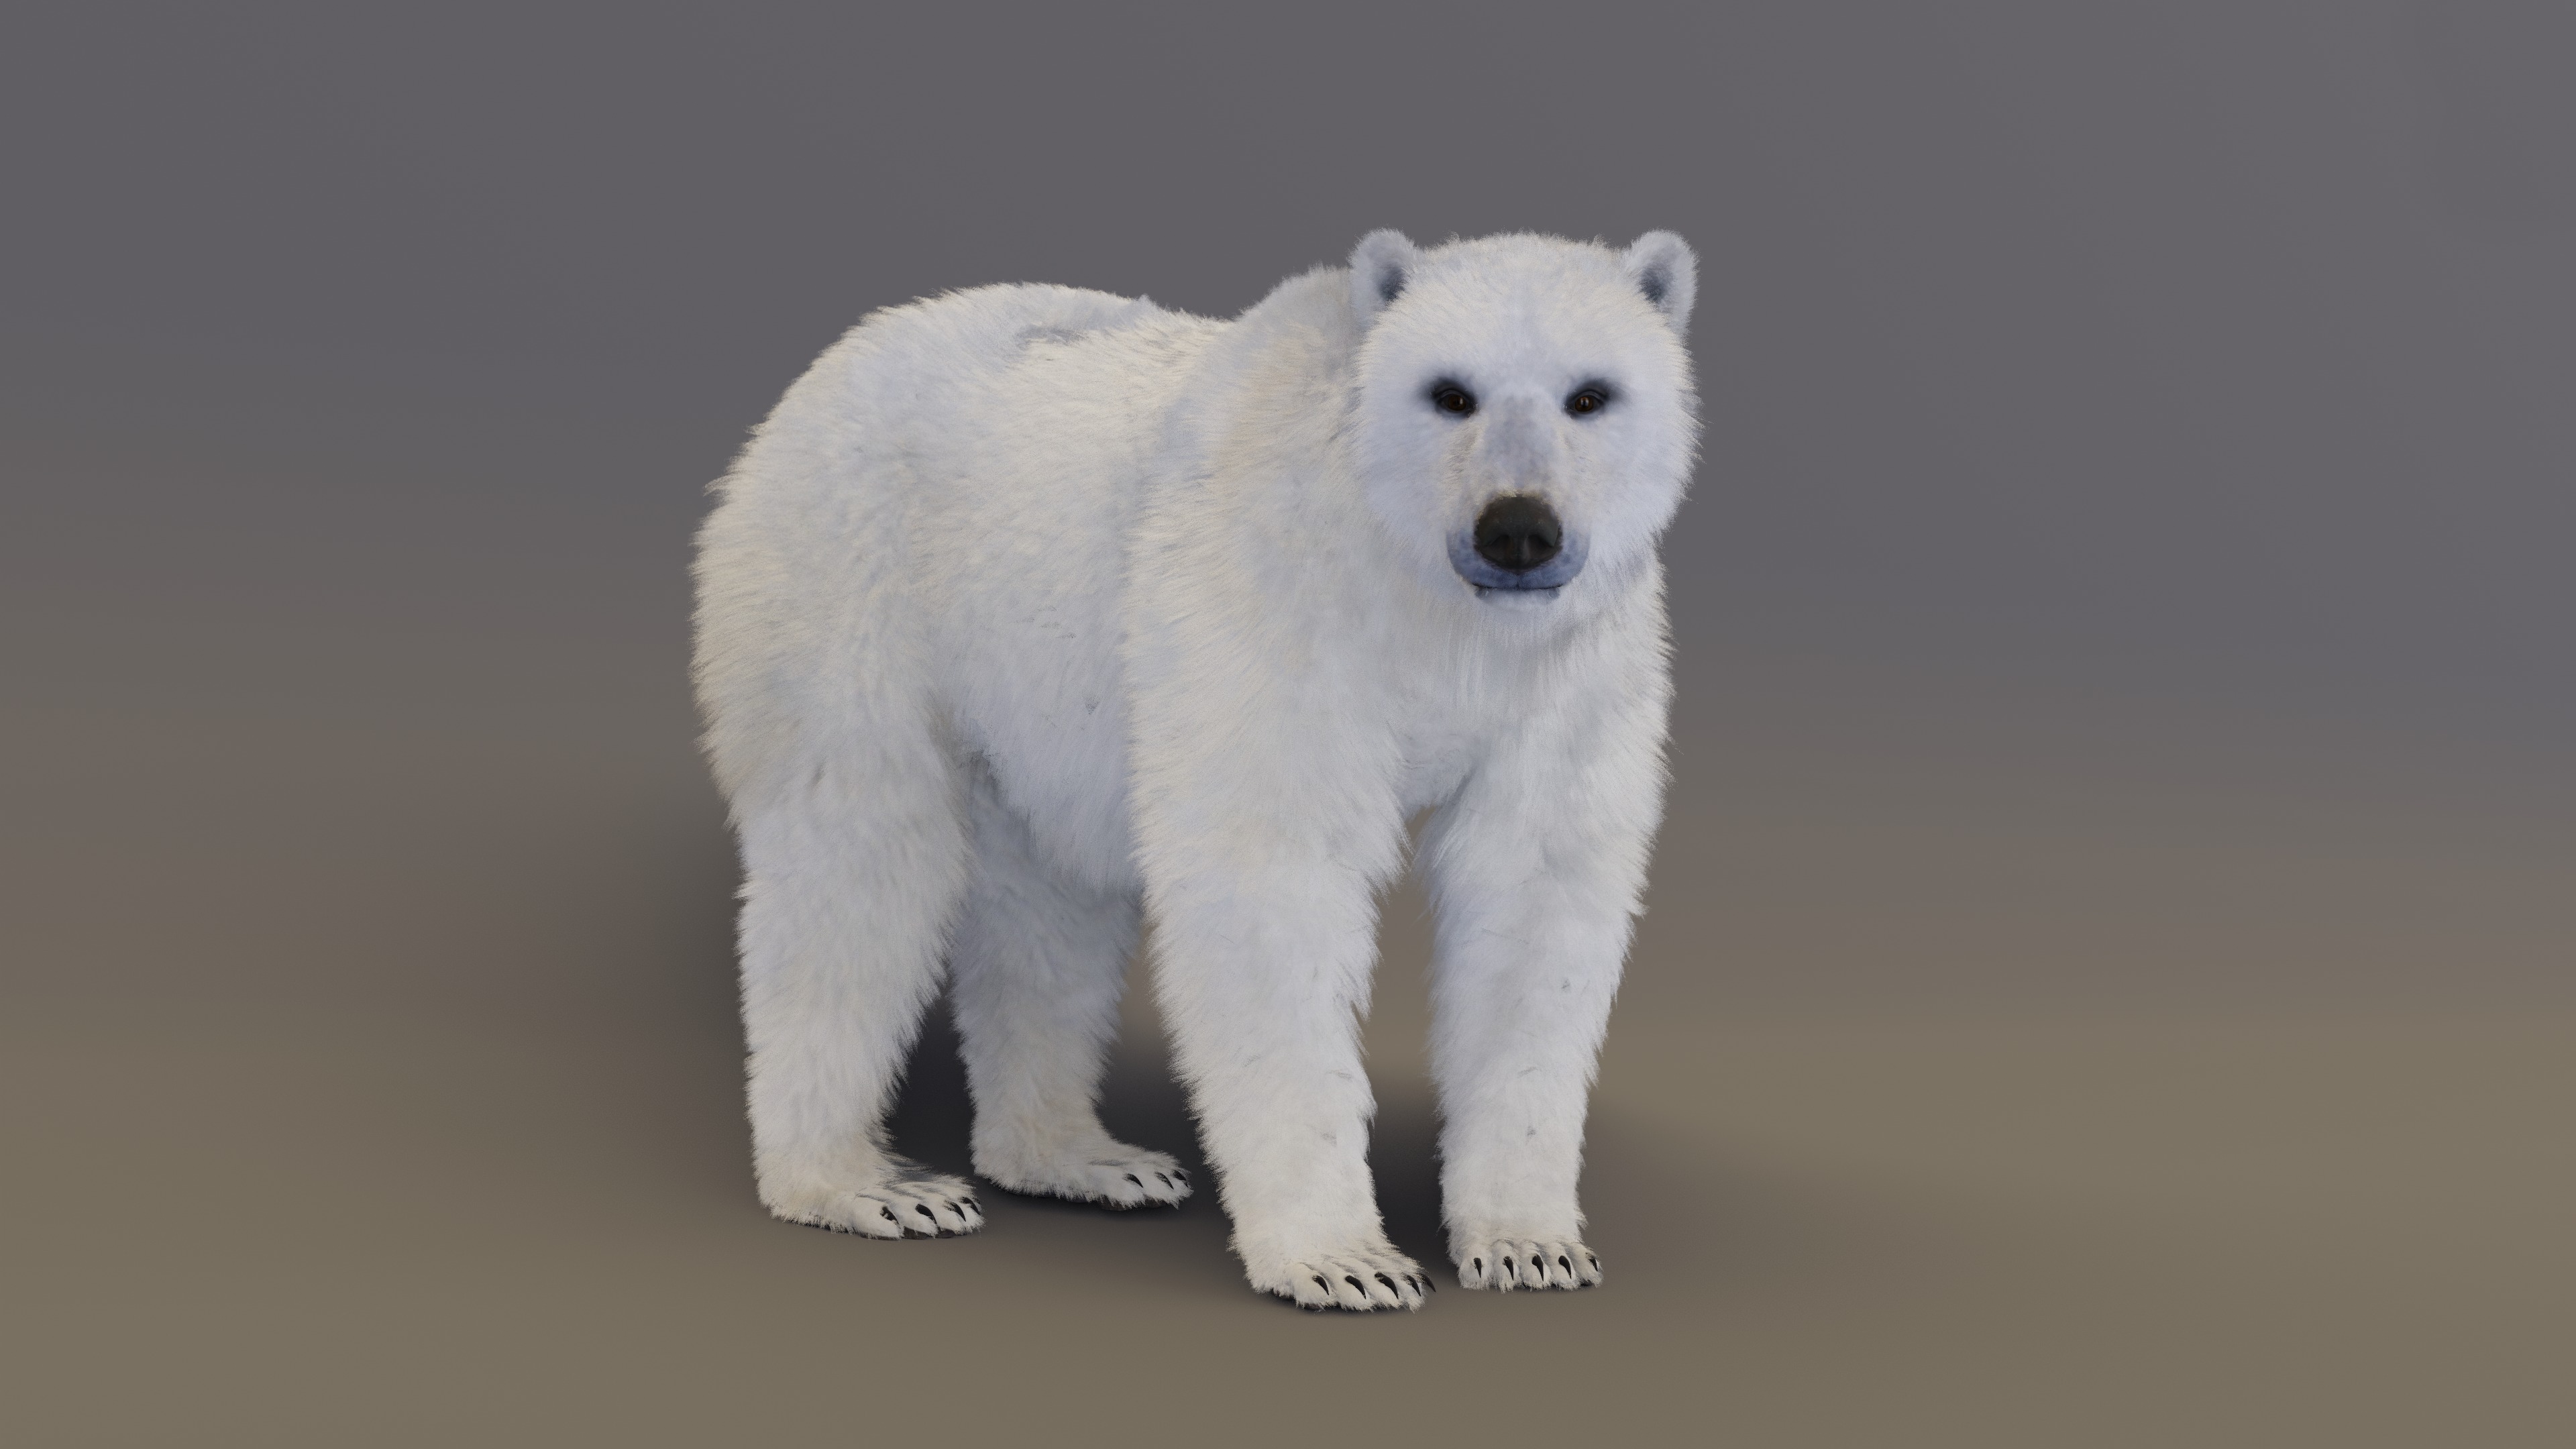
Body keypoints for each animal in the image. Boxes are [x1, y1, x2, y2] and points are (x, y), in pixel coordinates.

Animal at [691, 229, 1697, 1310]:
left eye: (1590, 395)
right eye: (1450, 393)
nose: (1517, 529)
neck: (1429, 597)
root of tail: (836, 361)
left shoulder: (1565, 670)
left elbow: (1534, 895)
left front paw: (1529, 1247)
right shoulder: (1281, 608)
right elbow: (1273, 881)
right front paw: (1344, 1262)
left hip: (1045, 700)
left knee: (1052, 904)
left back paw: (1084, 1158)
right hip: (849, 582)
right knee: (861, 862)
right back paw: (866, 1184)